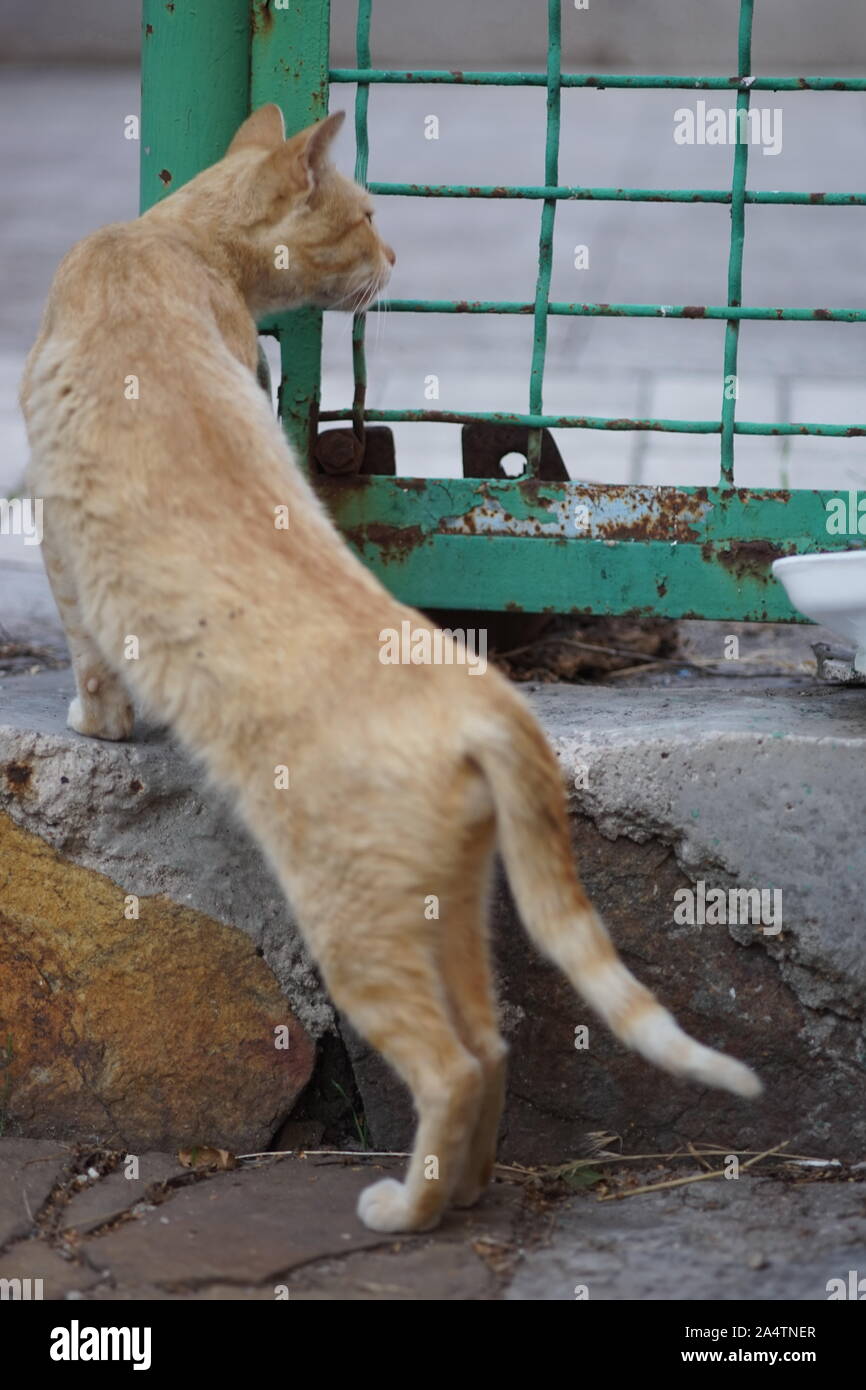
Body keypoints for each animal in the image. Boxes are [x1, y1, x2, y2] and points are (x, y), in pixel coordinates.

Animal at [22, 111, 756, 1239]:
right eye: (368, 217)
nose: (399, 255)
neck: (168, 241)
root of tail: (485, 696)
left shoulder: (60, 538)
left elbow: (93, 660)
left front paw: (94, 721)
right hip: (448, 907)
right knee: (490, 1046)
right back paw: (462, 1191)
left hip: (354, 926)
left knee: (448, 1063)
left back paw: (404, 1210)